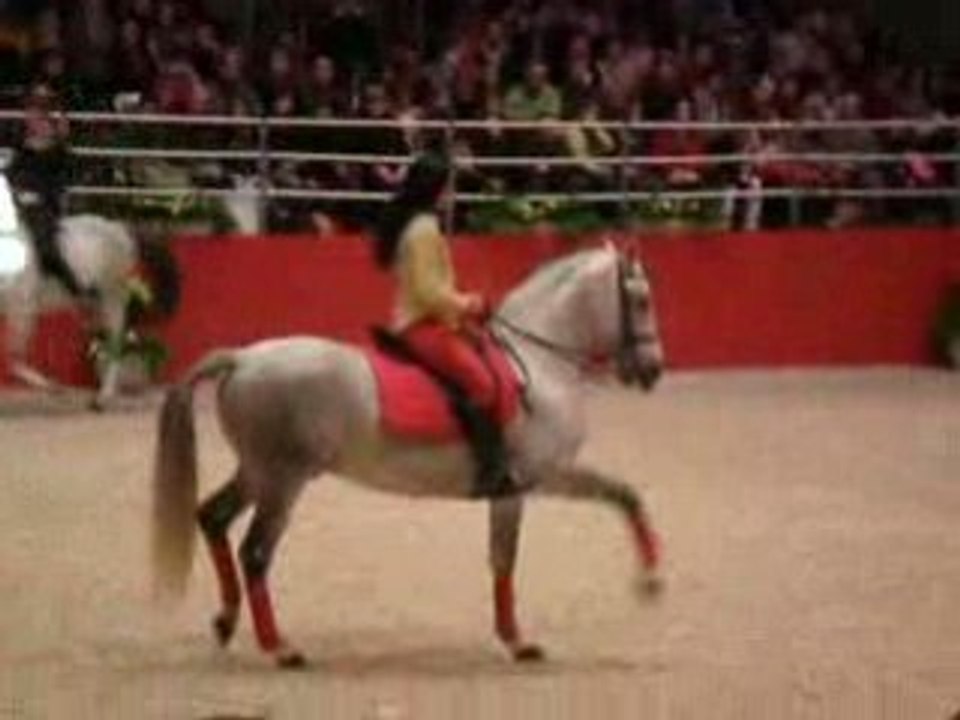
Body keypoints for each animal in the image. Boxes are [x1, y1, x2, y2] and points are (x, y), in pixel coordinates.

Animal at [0, 170, 180, 407]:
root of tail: (121, 229)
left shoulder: (21, 308)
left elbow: (14, 358)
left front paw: (54, 388)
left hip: (111, 295)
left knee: (116, 341)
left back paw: (104, 397)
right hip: (95, 303)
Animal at [151, 242, 665, 668]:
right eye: (641, 301)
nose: (653, 370)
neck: (538, 365)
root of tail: (242, 359)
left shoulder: (536, 480)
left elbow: (622, 497)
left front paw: (647, 579)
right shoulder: (531, 480)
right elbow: (510, 557)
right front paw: (522, 640)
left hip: (257, 472)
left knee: (212, 518)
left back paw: (226, 621)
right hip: (283, 479)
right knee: (255, 552)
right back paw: (280, 649)